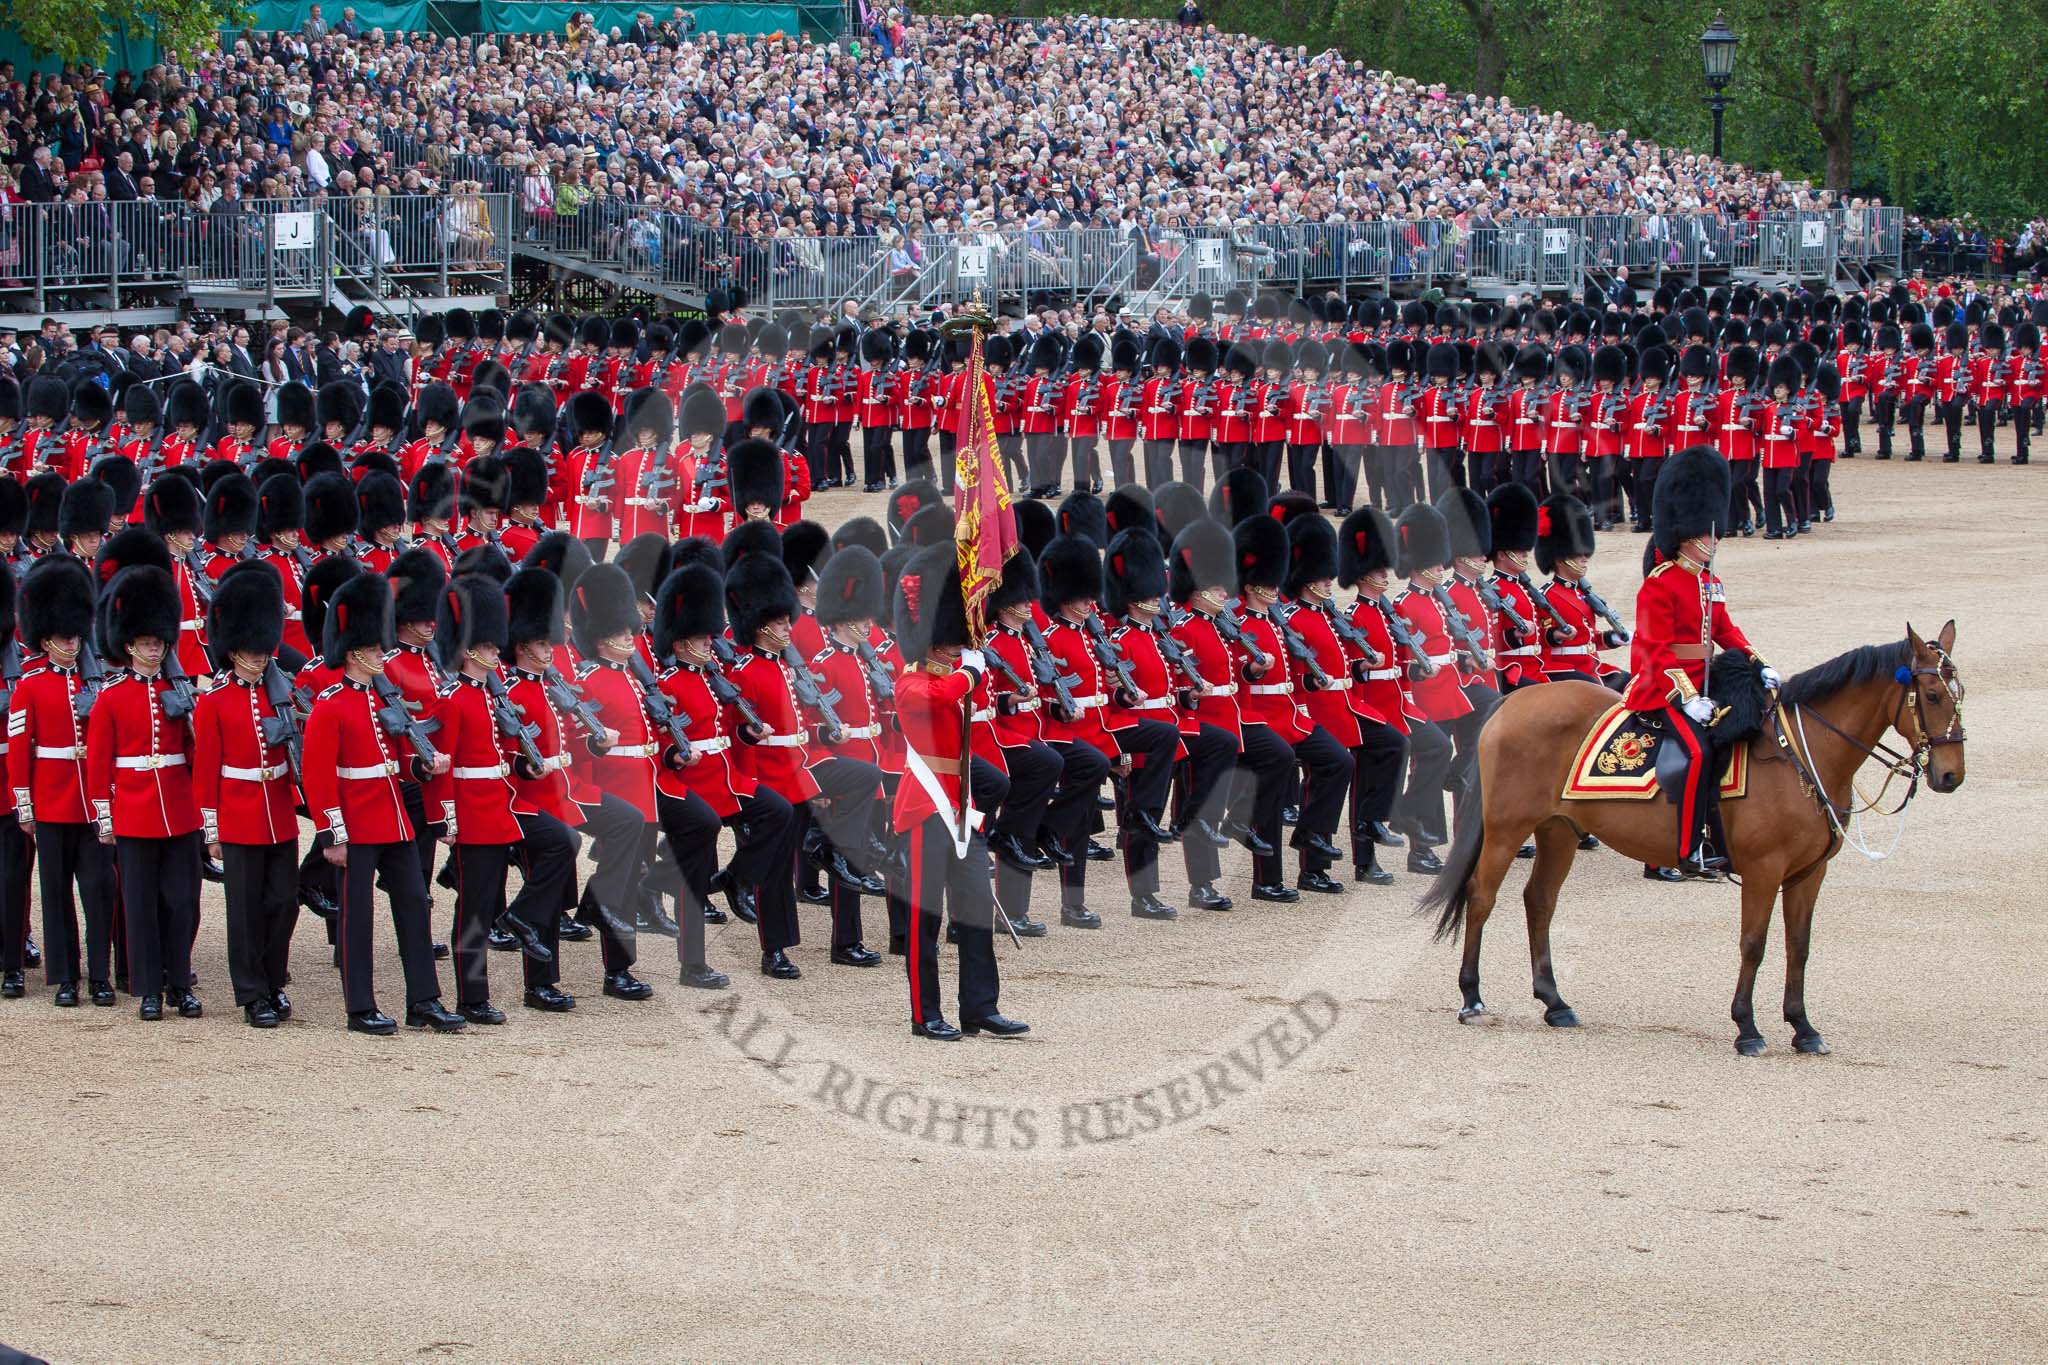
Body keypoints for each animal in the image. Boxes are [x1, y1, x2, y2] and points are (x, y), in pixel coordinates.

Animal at [1425, 622, 1966, 1055]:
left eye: (1960, 694)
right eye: (1932, 696)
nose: (1951, 776)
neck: (1802, 756)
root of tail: (1513, 700)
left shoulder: (1809, 873)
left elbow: (1799, 945)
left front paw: (1803, 1027)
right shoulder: (1764, 870)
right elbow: (1754, 943)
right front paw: (1747, 1028)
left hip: (1559, 830)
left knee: (1539, 902)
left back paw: (1555, 1002)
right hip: (1507, 828)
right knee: (1482, 897)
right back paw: (1472, 997)